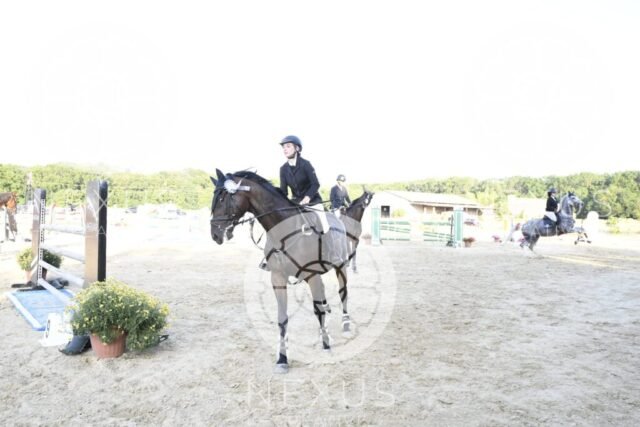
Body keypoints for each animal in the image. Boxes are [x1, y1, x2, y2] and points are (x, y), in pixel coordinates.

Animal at [209, 169, 354, 373]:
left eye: (222, 199)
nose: (215, 234)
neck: (283, 231)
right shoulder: (278, 278)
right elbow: (282, 318)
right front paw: (282, 359)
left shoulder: (312, 275)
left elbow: (318, 310)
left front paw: (326, 345)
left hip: (340, 267)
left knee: (343, 294)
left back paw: (346, 325)